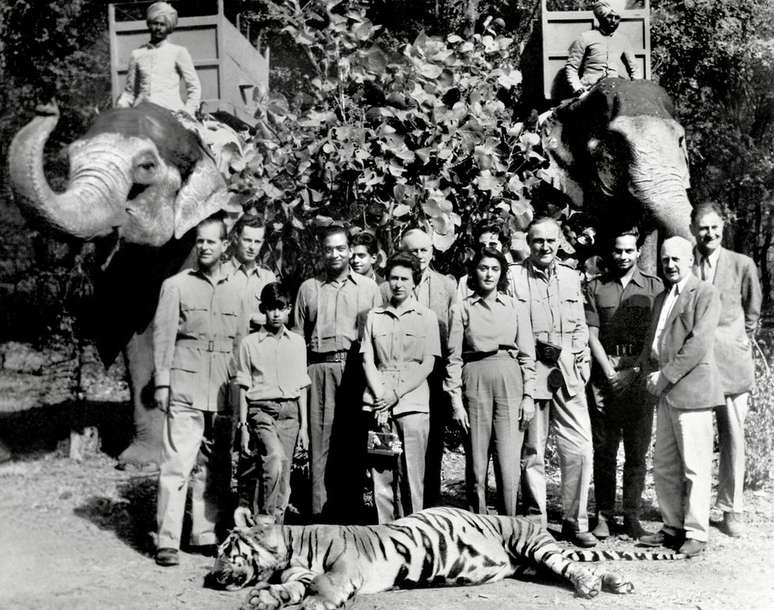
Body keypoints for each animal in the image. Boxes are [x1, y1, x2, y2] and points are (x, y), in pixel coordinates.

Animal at [8, 101, 236, 466]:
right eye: (69, 161)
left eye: (146, 167)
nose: (47, 109)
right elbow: (141, 338)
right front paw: (139, 461)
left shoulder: (192, 240)